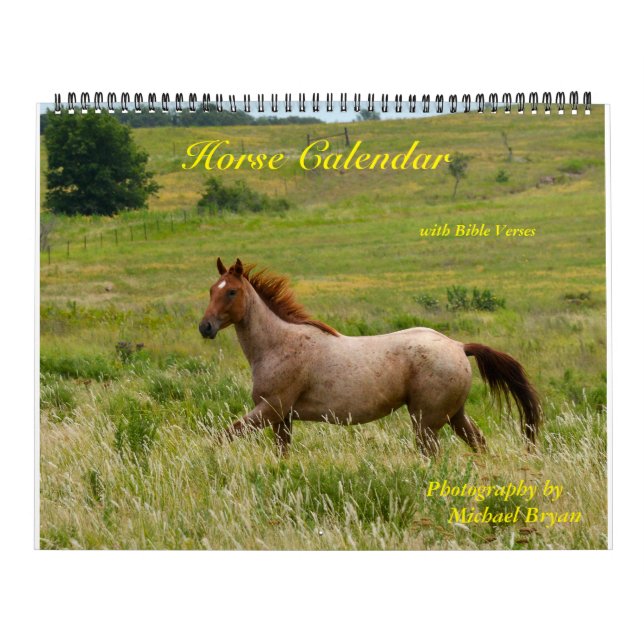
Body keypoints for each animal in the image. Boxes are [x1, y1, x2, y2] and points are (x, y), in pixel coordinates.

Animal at [199, 258, 541, 457]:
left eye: (231, 292)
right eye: (212, 290)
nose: (206, 327)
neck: (278, 344)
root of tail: (458, 346)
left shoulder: (269, 410)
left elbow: (222, 437)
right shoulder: (283, 419)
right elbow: (280, 454)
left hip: (426, 422)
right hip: (453, 415)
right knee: (480, 445)